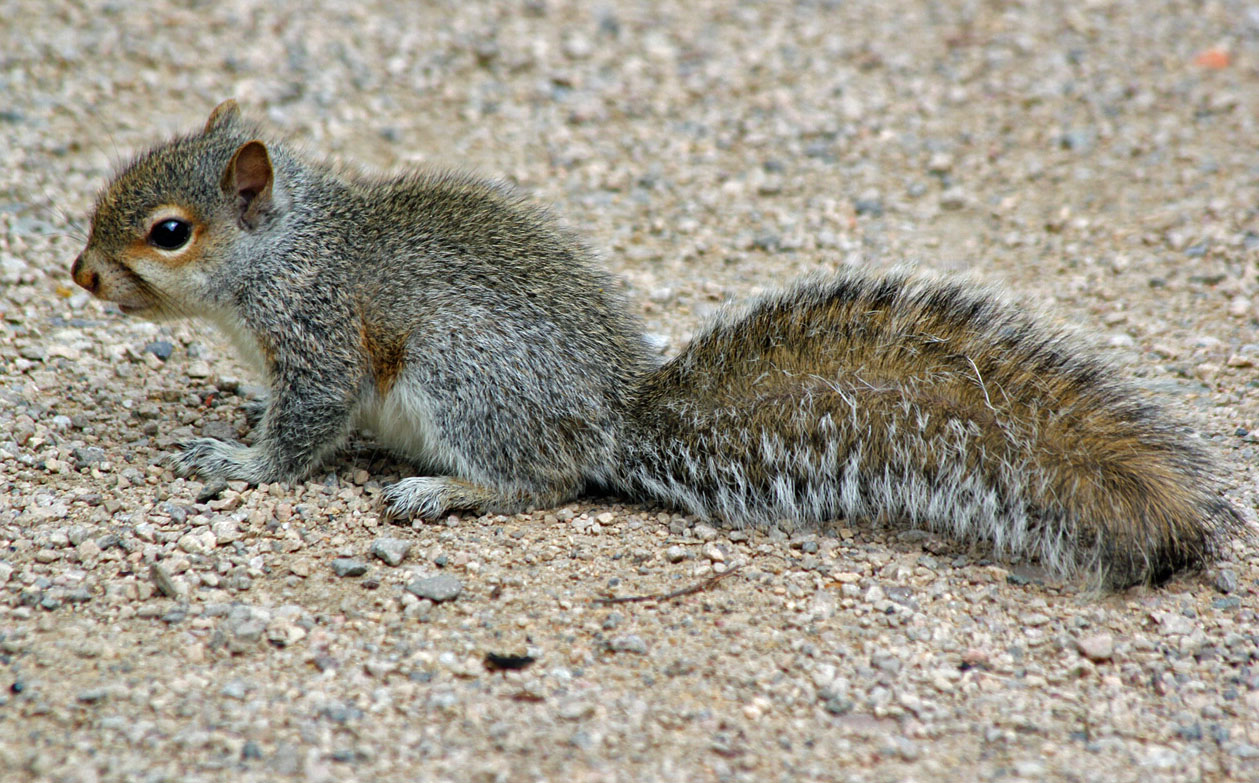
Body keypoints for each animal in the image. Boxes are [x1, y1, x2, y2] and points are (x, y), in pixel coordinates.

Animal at [73, 101, 1243, 589]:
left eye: (168, 232)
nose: (78, 274)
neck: (280, 254)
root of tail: (611, 419)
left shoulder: (319, 336)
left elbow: (304, 424)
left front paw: (239, 460)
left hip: (462, 380)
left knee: (541, 479)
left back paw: (446, 491)